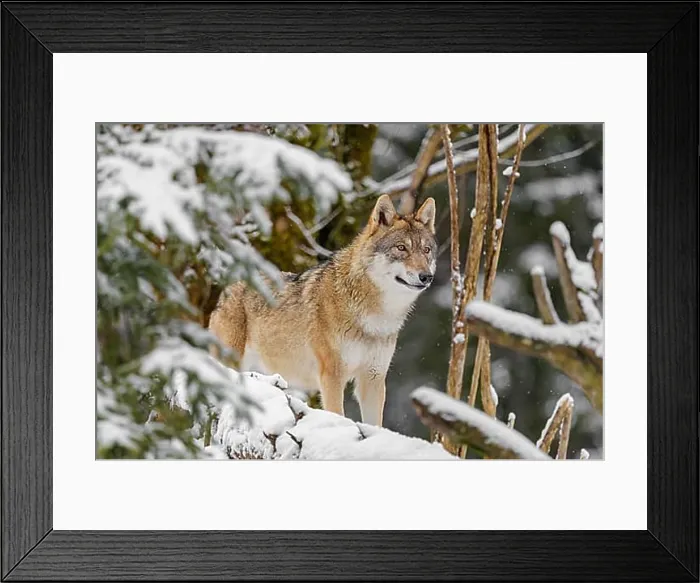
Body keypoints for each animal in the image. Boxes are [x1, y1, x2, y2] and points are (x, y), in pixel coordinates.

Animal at [209, 194, 437, 427]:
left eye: (426, 250)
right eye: (401, 248)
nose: (426, 277)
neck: (374, 318)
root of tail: (226, 287)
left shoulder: (373, 378)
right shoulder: (332, 375)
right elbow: (338, 415)